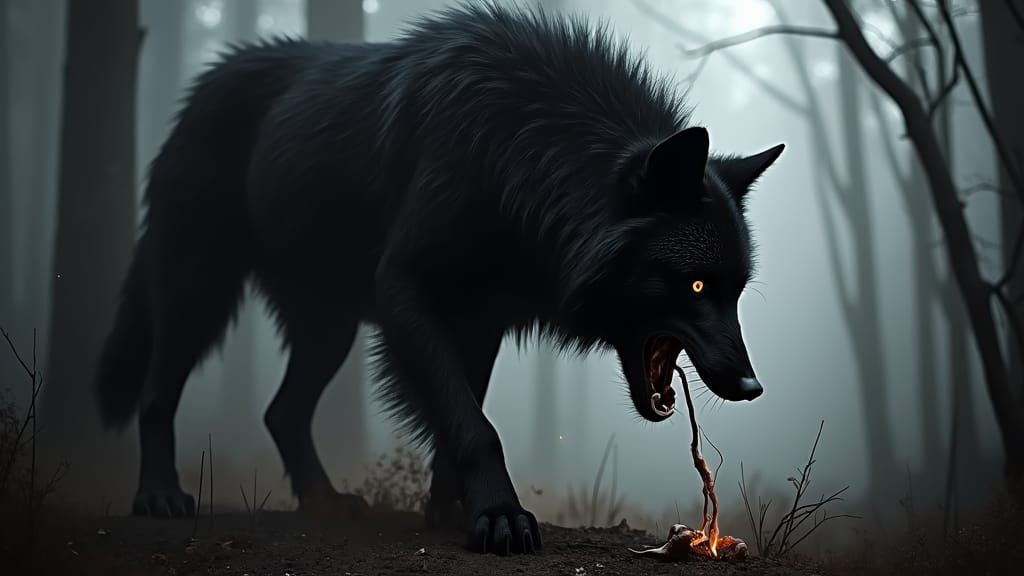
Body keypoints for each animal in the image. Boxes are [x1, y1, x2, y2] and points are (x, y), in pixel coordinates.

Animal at [95, 2, 783, 555]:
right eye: (697, 286)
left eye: (735, 291)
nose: (752, 387)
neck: (523, 152)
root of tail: (205, 83)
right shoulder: (407, 293)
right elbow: (475, 424)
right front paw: (499, 515)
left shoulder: (480, 318)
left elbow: (462, 409)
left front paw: (450, 510)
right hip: (200, 293)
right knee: (158, 395)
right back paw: (159, 497)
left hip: (328, 327)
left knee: (281, 412)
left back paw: (326, 501)